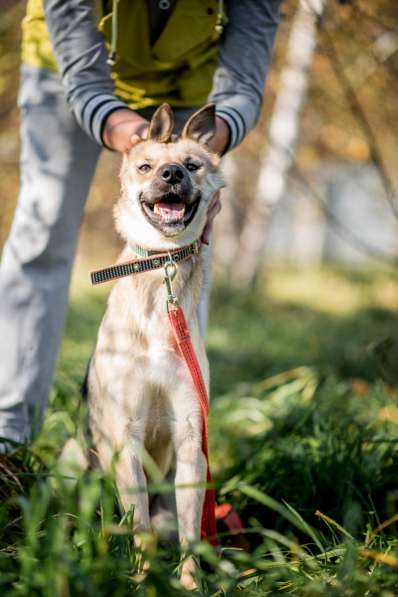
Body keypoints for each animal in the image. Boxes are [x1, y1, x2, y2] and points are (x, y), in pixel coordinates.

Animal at [87, 102, 224, 588]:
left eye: (192, 165)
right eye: (146, 166)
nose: (171, 174)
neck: (161, 267)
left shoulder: (190, 438)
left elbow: (190, 531)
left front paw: (191, 584)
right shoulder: (126, 437)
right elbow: (139, 524)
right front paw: (143, 581)